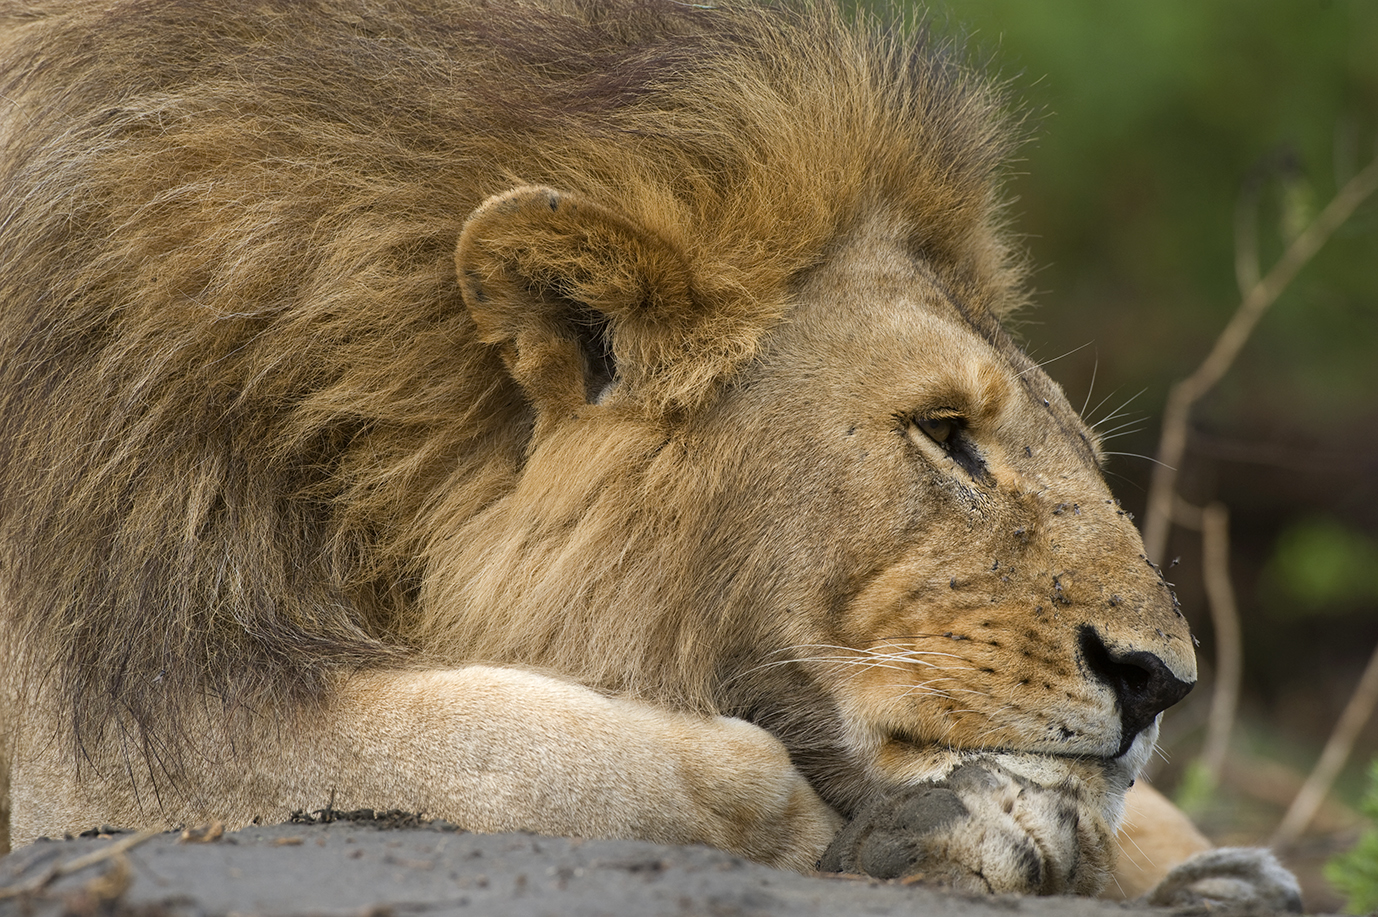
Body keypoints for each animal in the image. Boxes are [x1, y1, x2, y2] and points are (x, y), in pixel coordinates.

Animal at [0, 0, 1297, 906]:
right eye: (945, 434)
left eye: (1072, 441)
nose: (1163, 681)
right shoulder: (105, 722)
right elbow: (569, 759)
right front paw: (952, 829)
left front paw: (1212, 864)